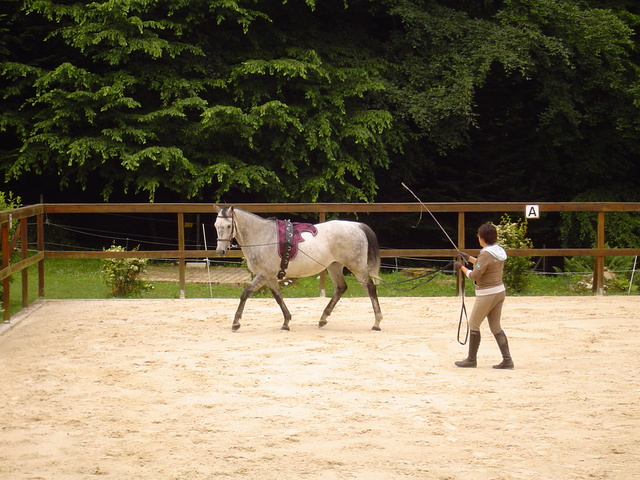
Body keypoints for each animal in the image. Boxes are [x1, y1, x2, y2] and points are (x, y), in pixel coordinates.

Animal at [215, 204, 384, 332]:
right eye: (216, 226)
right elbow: (278, 297)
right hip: (334, 266)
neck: (262, 237)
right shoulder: (270, 277)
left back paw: (376, 323)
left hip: (357, 267)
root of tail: (356, 226)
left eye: (228, 226)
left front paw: (236, 323)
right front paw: (286, 322)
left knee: (370, 289)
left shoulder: (264, 274)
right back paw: (323, 319)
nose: (220, 251)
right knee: (341, 288)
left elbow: (245, 293)